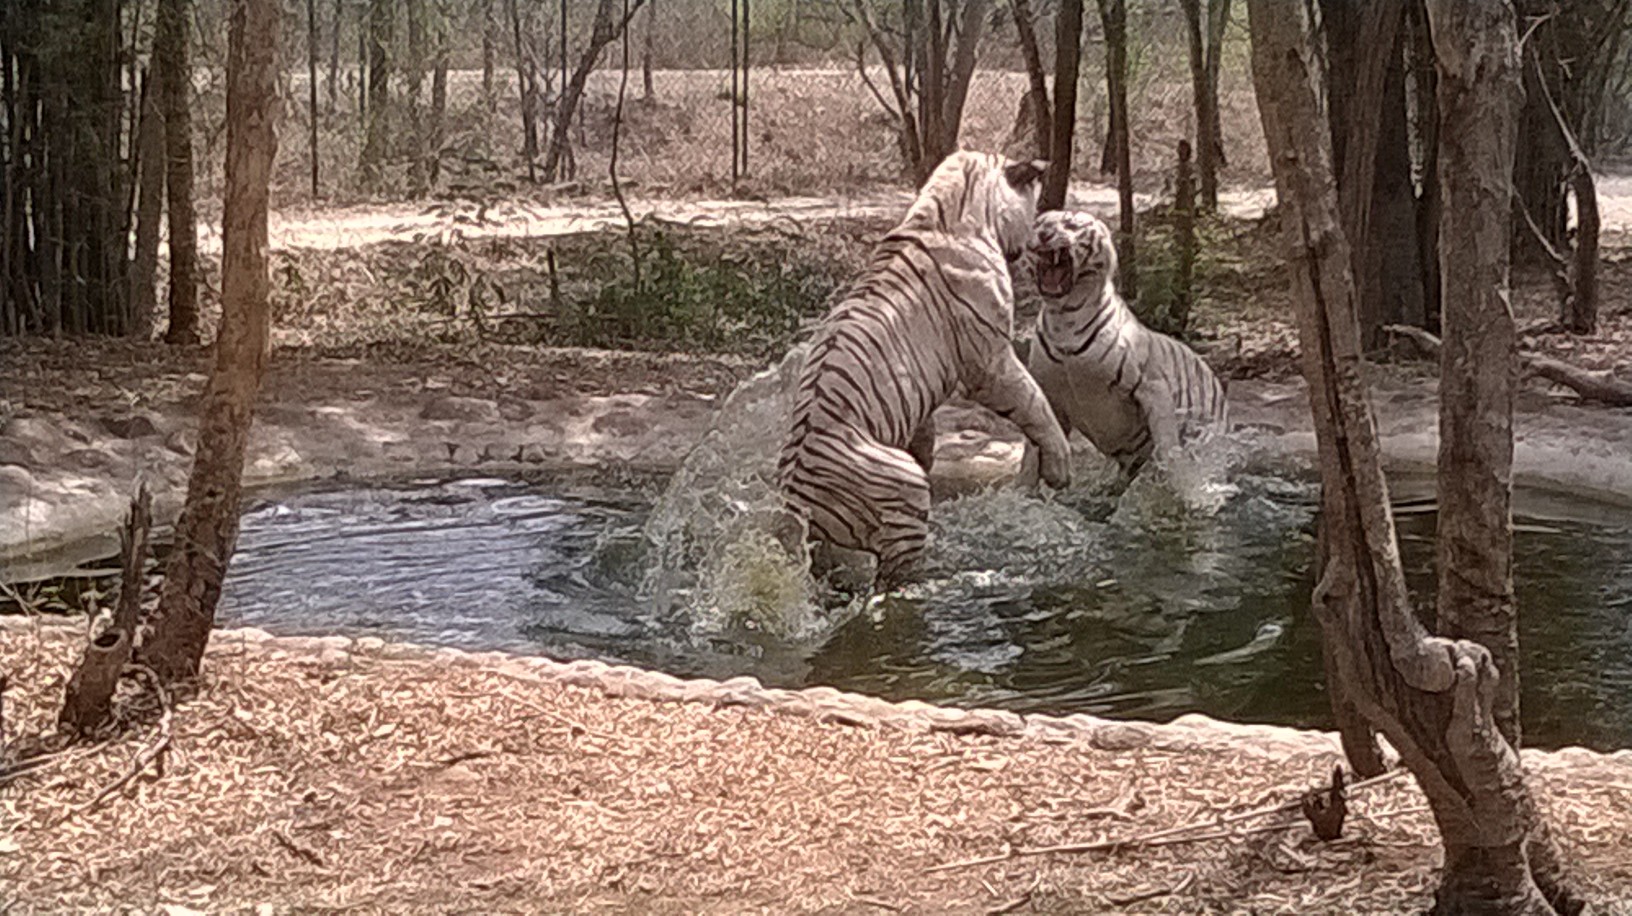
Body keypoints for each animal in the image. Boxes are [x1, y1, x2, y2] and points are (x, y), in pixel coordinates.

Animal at [783, 150, 1077, 584]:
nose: (1033, 240)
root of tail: (795, 499)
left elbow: (924, 427)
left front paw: (927, 450)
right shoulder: (990, 362)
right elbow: (1035, 404)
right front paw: (1060, 466)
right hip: (904, 489)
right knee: (894, 572)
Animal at [1018, 208, 1227, 480]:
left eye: (1070, 224)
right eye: (1039, 224)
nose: (1044, 234)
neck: (1063, 317)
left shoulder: (1153, 385)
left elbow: (1168, 444)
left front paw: (1176, 479)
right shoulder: (1048, 396)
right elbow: (1034, 452)